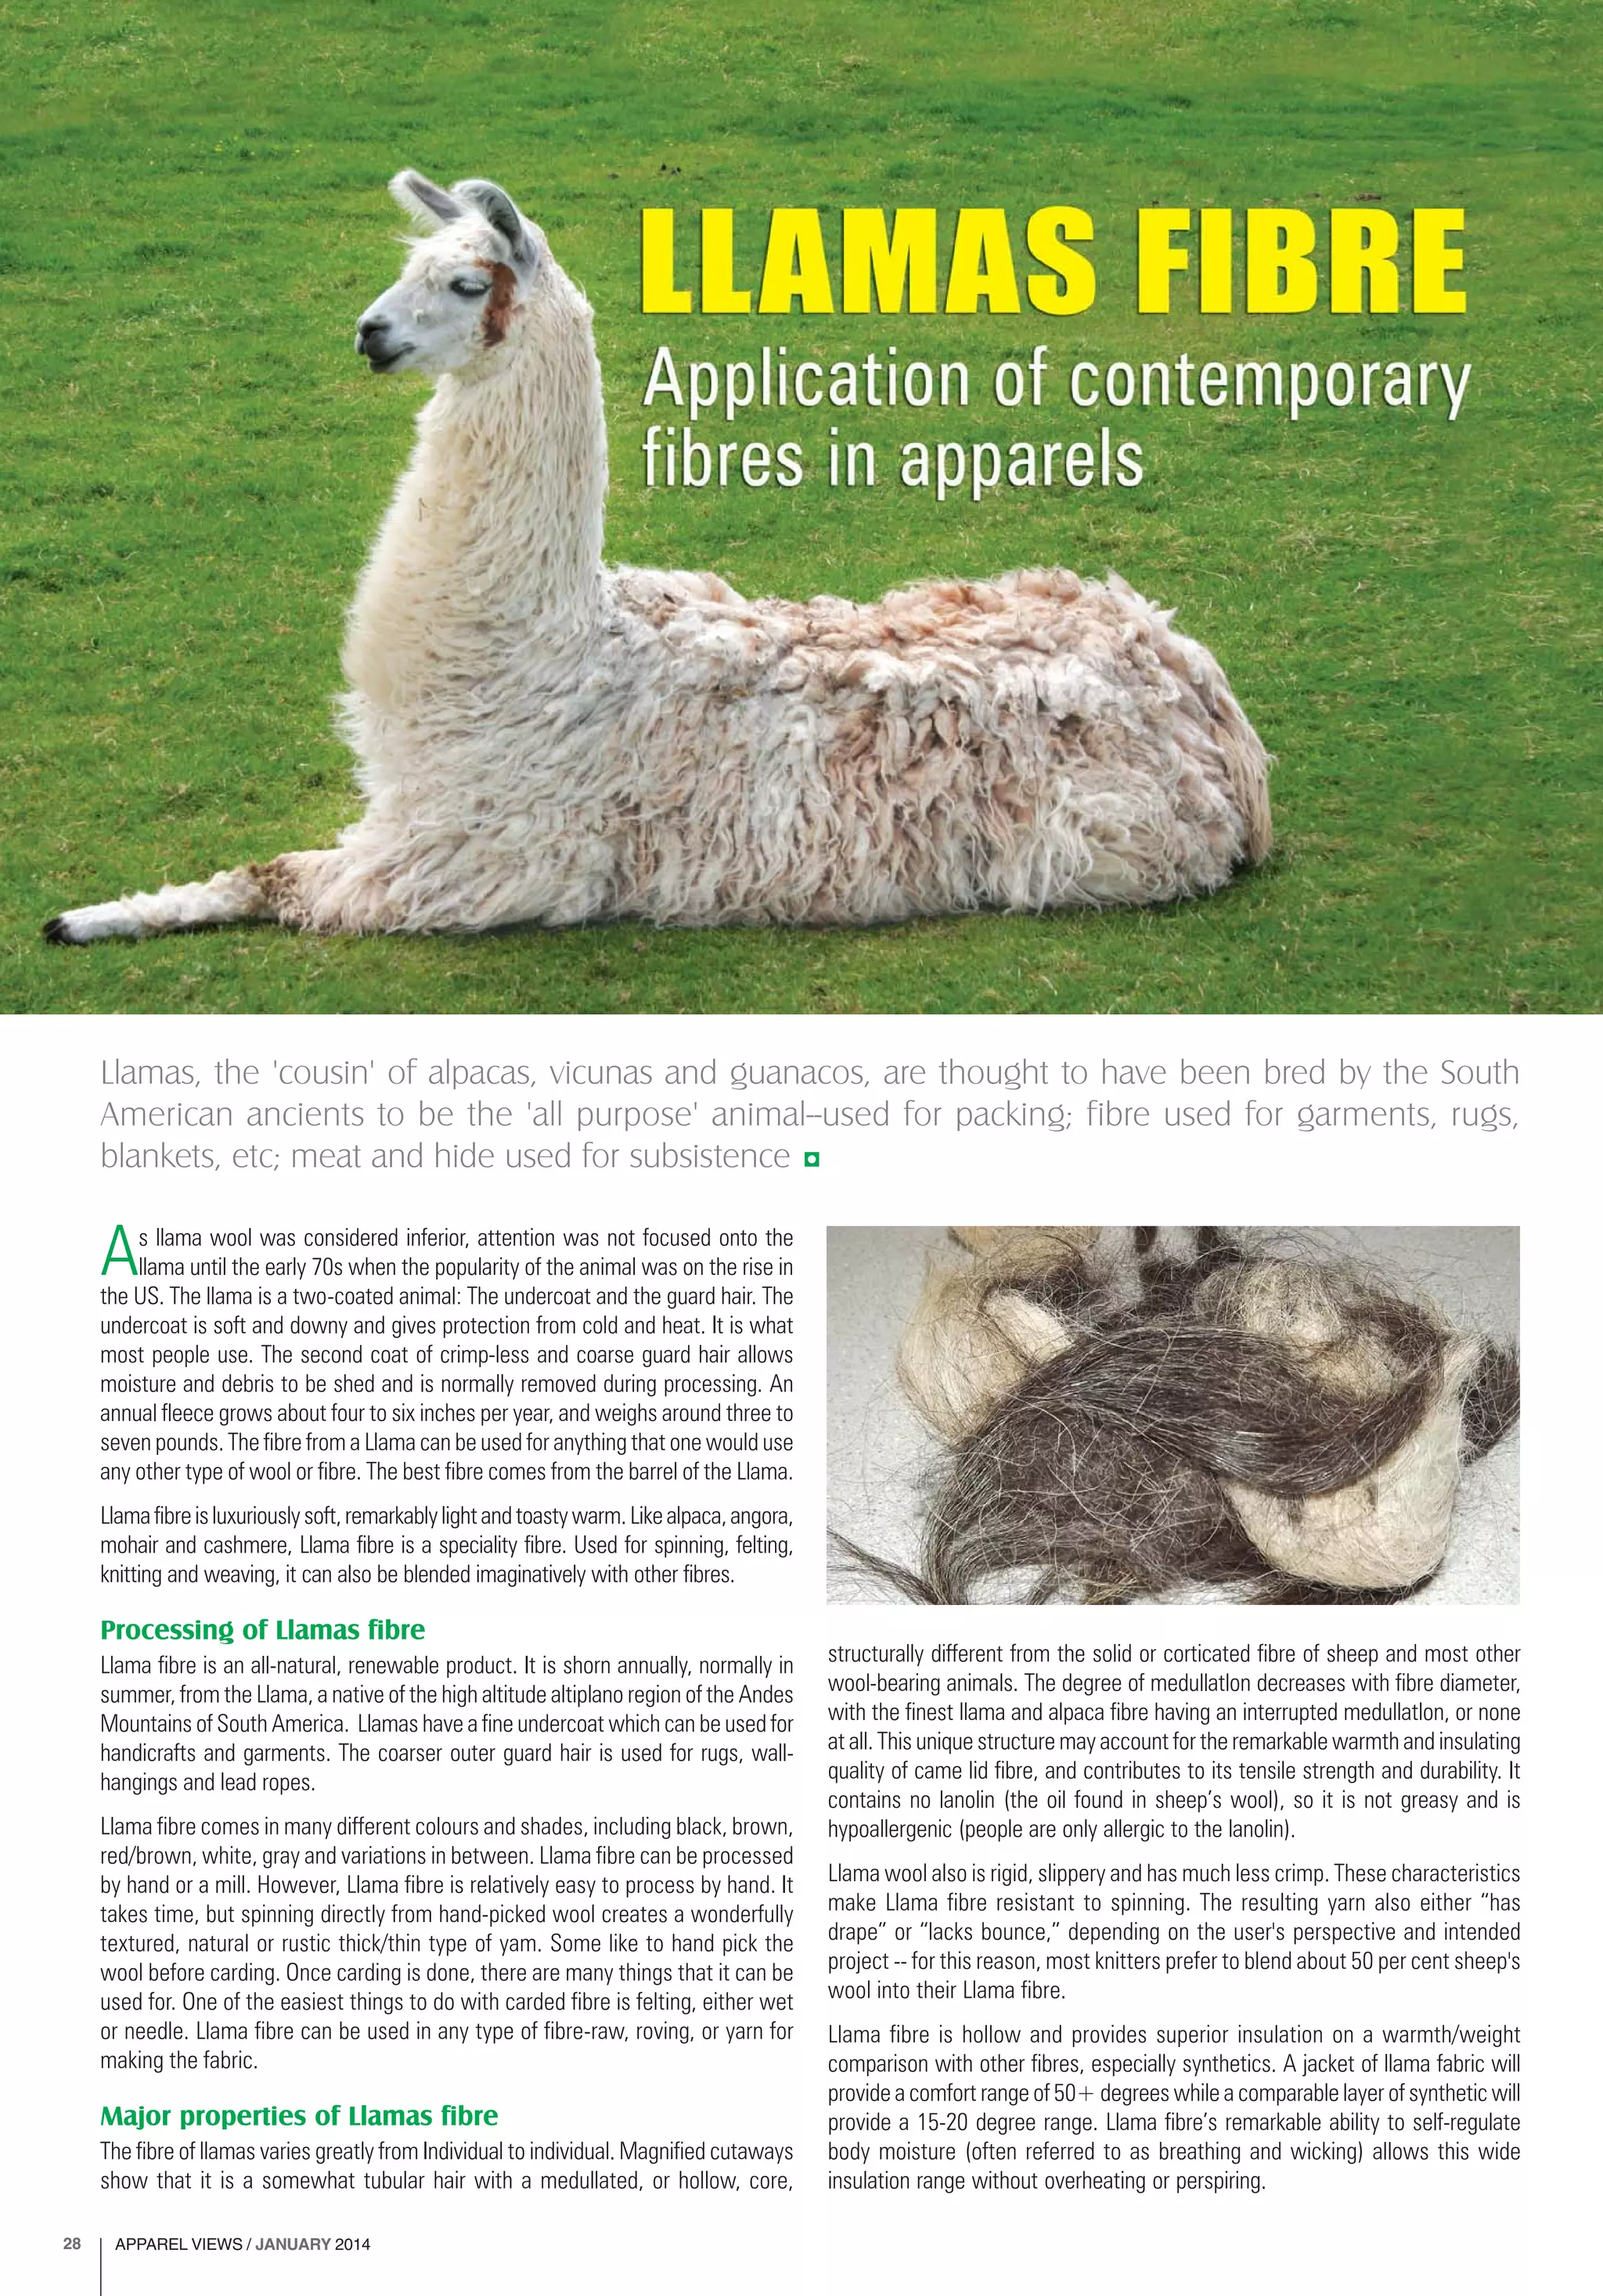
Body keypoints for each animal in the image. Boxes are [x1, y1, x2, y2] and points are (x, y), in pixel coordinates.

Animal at [44, 171, 1272, 945]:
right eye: (411, 267)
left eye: (466, 283)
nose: (369, 334)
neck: (539, 659)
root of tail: (1191, 672)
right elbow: (265, 869)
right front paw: (88, 911)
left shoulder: (470, 857)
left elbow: (276, 878)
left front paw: (95, 916)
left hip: (1100, 842)